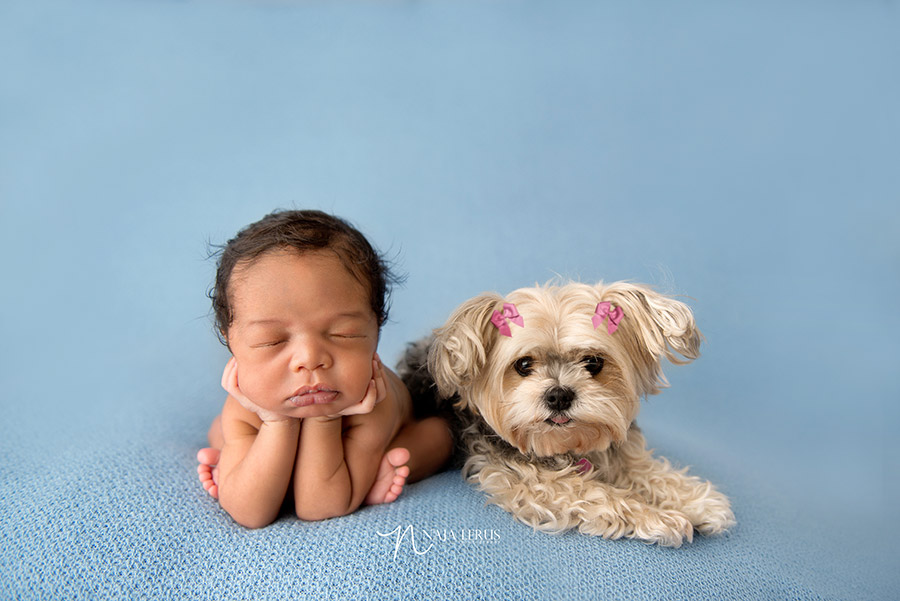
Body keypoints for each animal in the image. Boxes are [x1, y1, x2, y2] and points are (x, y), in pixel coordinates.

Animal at [412, 280, 736, 544]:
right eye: (523, 364)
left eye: (593, 362)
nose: (558, 395)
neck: (568, 445)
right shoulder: (533, 482)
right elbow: (596, 493)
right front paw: (657, 516)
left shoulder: (619, 452)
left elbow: (650, 472)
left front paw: (697, 501)